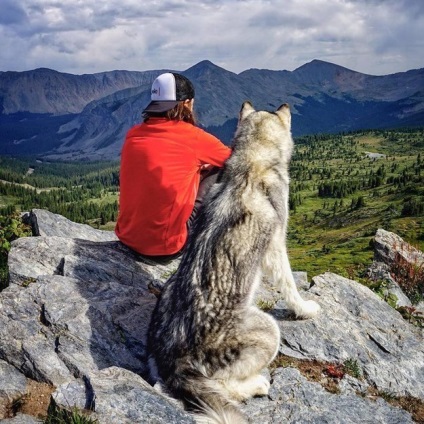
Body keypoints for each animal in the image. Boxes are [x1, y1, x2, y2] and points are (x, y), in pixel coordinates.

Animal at [147, 101, 320, 422]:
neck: (253, 158)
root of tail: (176, 362)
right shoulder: (276, 245)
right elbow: (290, 285)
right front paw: (304, 308)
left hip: (167, 293)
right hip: (268, 330)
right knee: (224, 386)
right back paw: (257, 385)